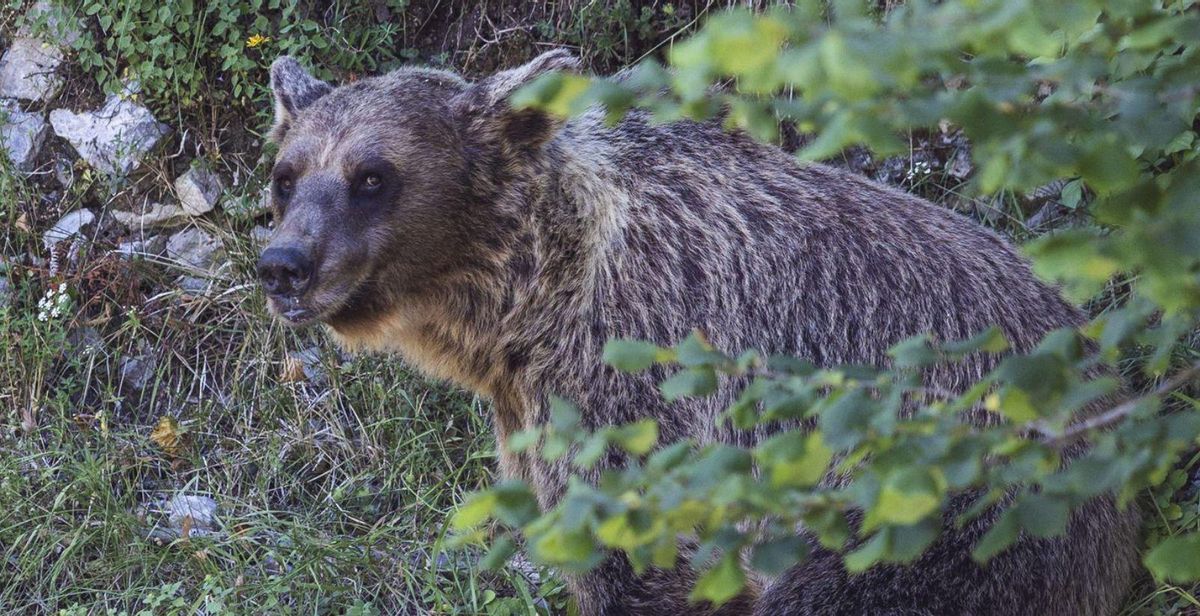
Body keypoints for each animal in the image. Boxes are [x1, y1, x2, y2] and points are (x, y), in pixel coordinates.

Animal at [258, 50, 1137, 612]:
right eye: (288, 175)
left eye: (373, 176)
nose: (284, 265)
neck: (530, 303)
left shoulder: (634, 393)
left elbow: (634, 564)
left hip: (941, 504)